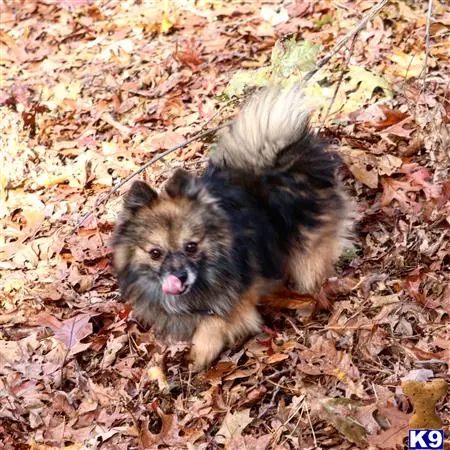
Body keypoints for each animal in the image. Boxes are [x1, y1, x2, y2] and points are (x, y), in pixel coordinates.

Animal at [112, 85, 352, 370]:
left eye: (191, 247)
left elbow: (215, 319)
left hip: (307, 248)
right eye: (155, 253)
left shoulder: (239, 296)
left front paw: (202, 351)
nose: (179, 276)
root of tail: (283, 163)